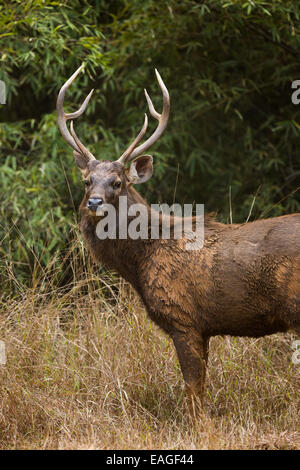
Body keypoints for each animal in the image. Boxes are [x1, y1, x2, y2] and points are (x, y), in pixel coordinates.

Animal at [56, 65, 300, 412]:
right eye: (86, 181)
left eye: (117, 182)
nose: (94, 202)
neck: (141, 260)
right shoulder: (203, 328)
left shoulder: (183, 316)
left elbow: (192, 392)